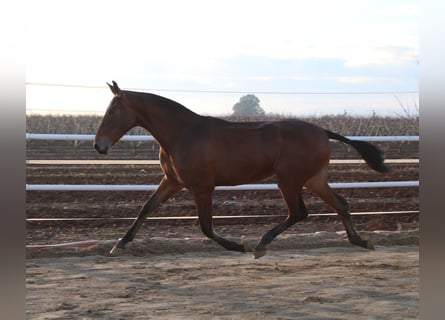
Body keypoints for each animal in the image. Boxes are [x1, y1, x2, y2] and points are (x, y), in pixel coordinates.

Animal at [94, 81, 388, 258]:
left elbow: (206, 227)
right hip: (314, 179)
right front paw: (119, 244)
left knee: (299, 212)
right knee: (340, 203)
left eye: (111, 112)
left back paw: (261, 244)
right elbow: (146, 208)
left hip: (288, 179)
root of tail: (323, 132)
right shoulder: (172, 181)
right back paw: (361, 241)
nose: (99, 145)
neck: (182, 133)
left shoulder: (202, 187)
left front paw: (239, 245)